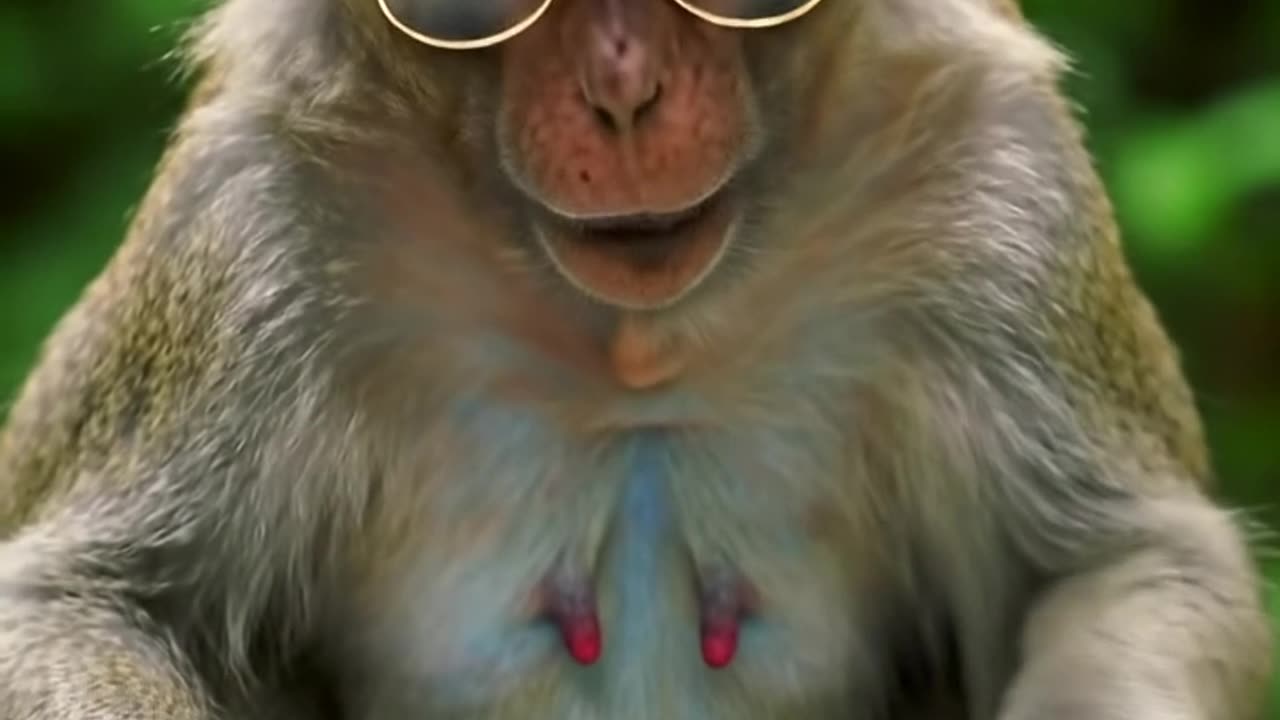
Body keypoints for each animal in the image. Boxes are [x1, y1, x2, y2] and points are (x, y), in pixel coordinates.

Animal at [0, 0, 1272, 717]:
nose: (621, 89)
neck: (634, 329)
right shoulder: (250, 225)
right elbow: (76, 605)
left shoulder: (998, 185)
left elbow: (1118, 564)